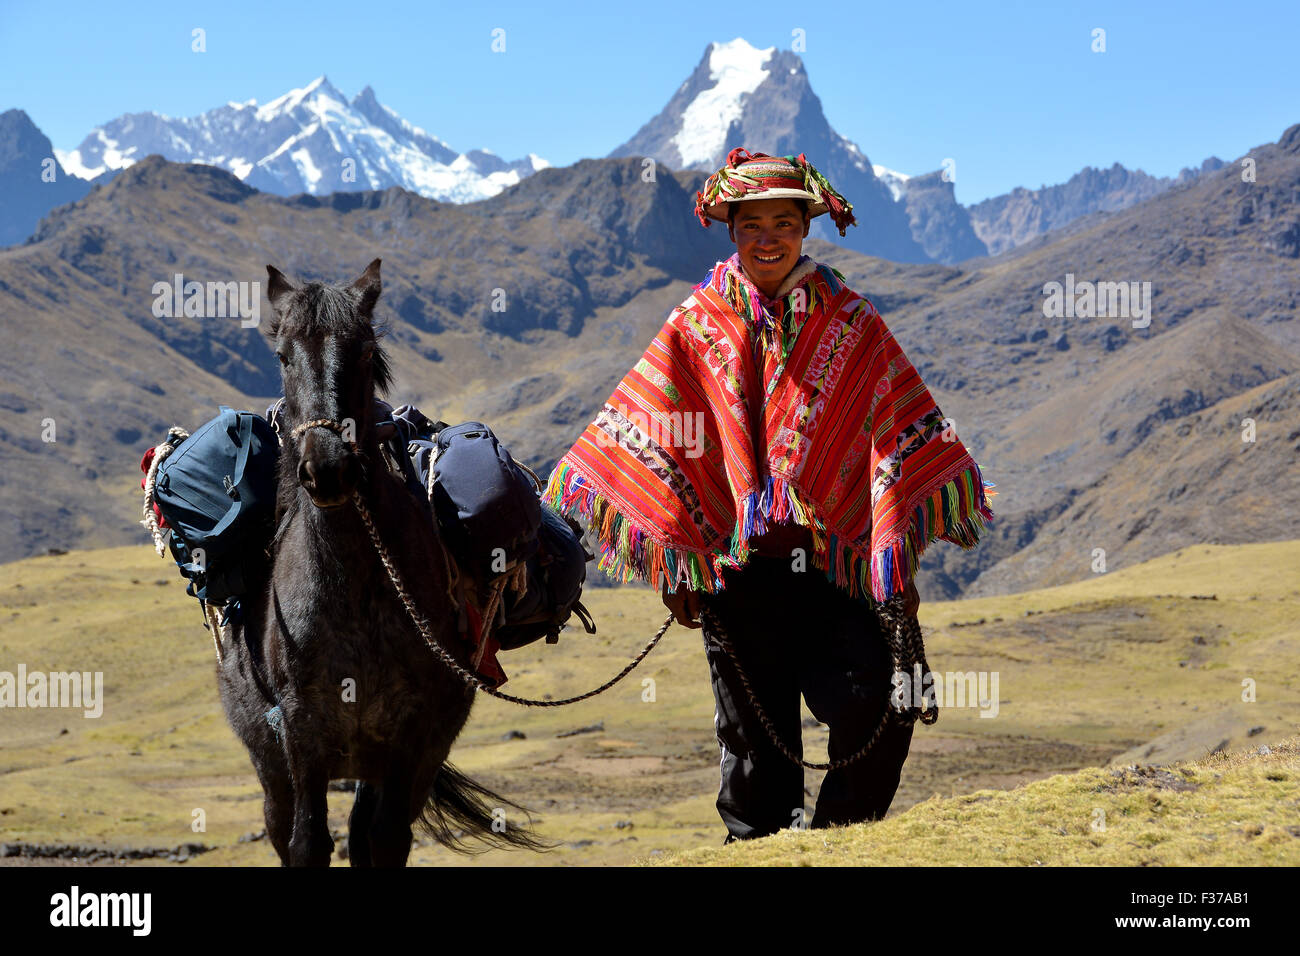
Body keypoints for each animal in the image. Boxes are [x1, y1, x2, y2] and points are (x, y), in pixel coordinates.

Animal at [220, 260, 546, 868]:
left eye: (366, 351)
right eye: (282, 354)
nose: (327, 469)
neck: (354, 592)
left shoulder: (413, 740)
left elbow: (386, 840)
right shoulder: (302, 733)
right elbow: (307, 843)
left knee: (366, 833)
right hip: (273, 767)